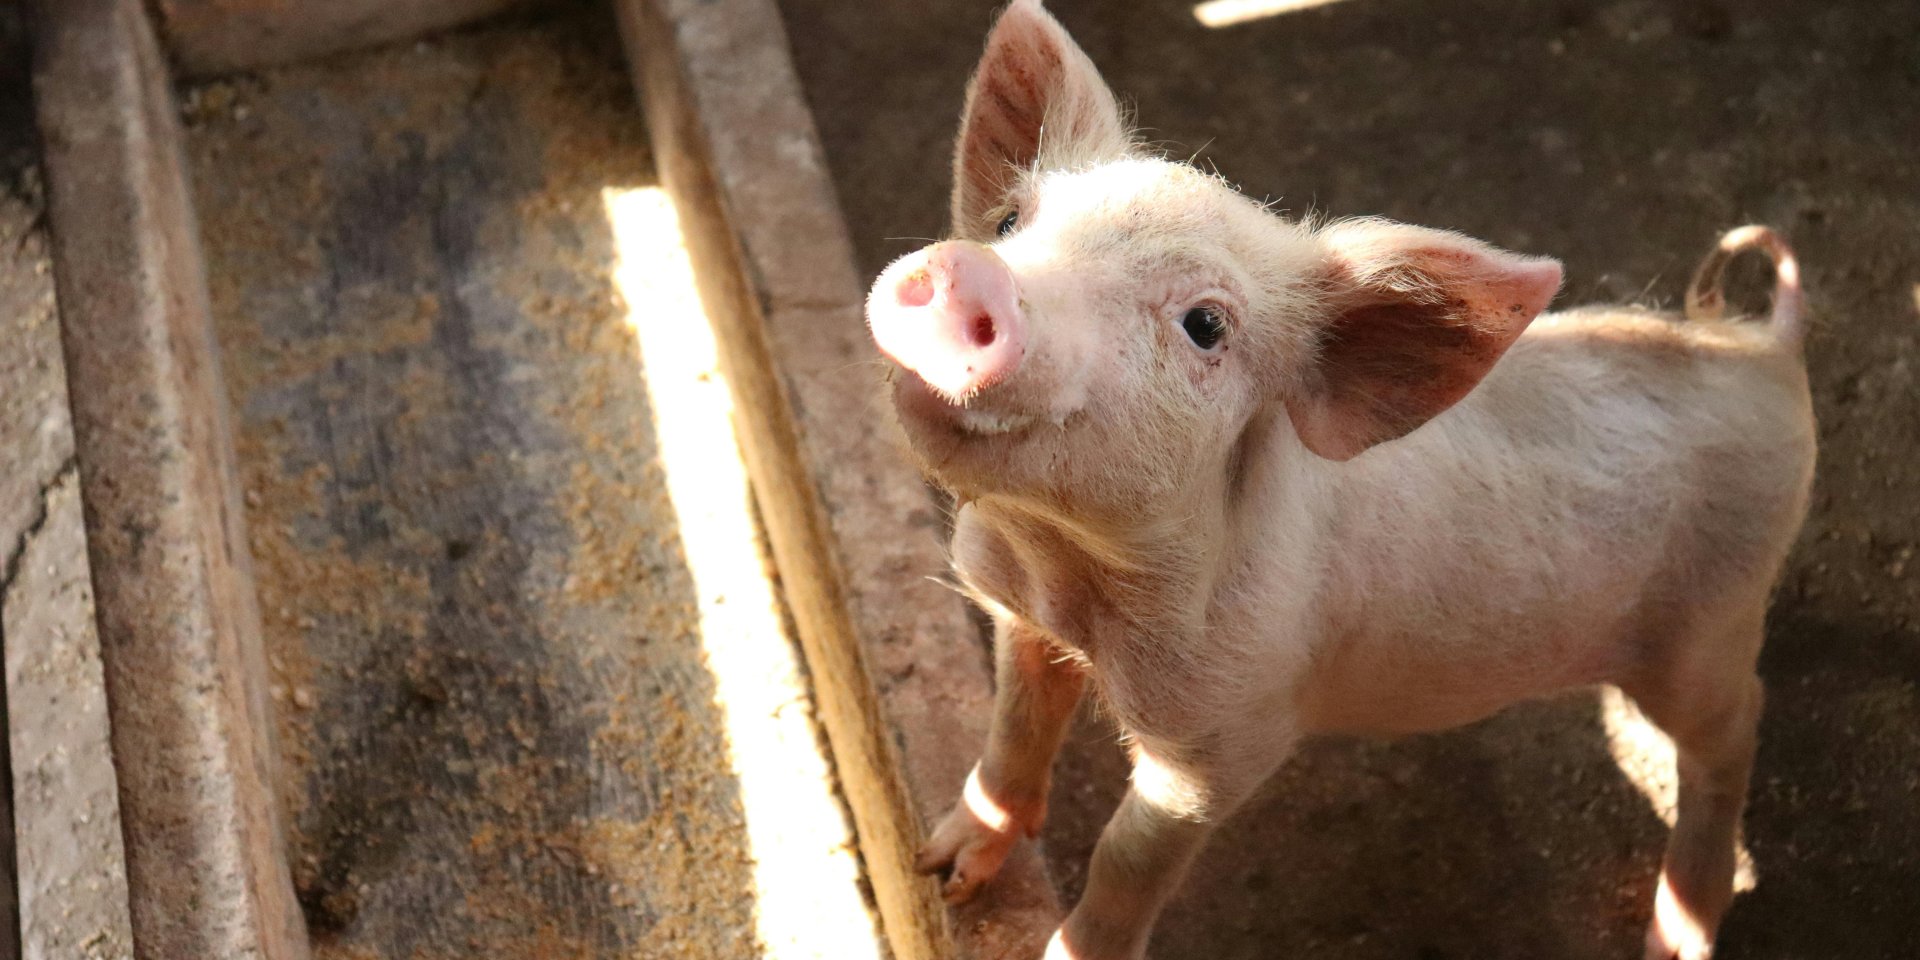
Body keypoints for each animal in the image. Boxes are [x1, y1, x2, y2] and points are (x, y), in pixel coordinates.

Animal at [862, 2, 1815, 958]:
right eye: (1009, 221)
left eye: (1205, 325)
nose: (968, 271)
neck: (1068, 575)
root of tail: (1764, 350)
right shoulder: (1020, 618)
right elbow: (1014, 731)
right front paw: (940, 871)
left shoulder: (1230, 733)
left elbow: (1126, 858)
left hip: (1707, 626)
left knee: (1735, 729)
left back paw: (1677, 934)